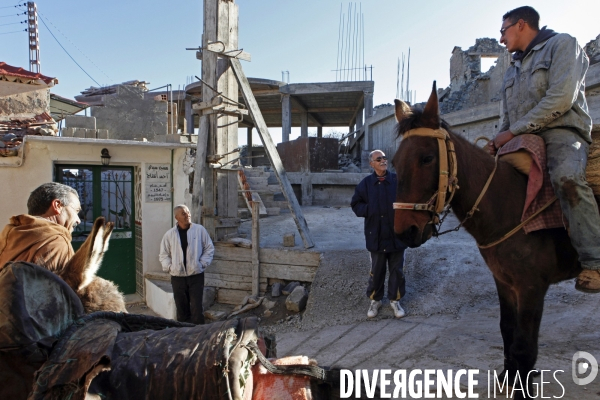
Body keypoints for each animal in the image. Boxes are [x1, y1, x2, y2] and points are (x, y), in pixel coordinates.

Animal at [392, 83, 584, 396]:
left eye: (427, 158)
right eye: (395, 162)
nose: (403, 231)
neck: (510, 203)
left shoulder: (532, 287)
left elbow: (524, 347)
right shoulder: (504, 281)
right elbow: (507, 331)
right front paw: (510, 378)